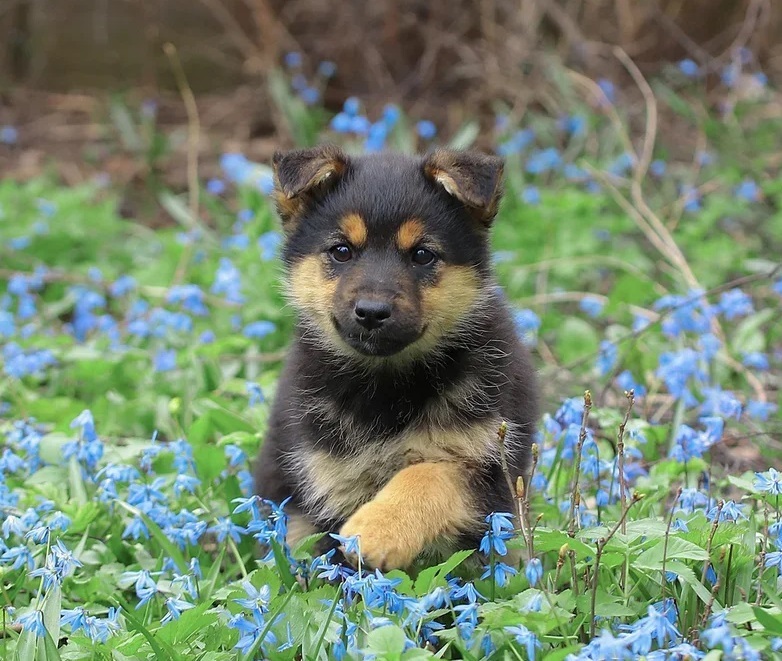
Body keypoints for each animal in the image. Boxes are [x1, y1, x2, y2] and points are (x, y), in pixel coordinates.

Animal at [254, 146, 544, 572]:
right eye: (341, 251)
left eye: (422, 255)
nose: (372, 312)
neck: (387, 384)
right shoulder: (329, 481)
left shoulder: (490, 471)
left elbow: (430, 474)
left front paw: (378, 527)